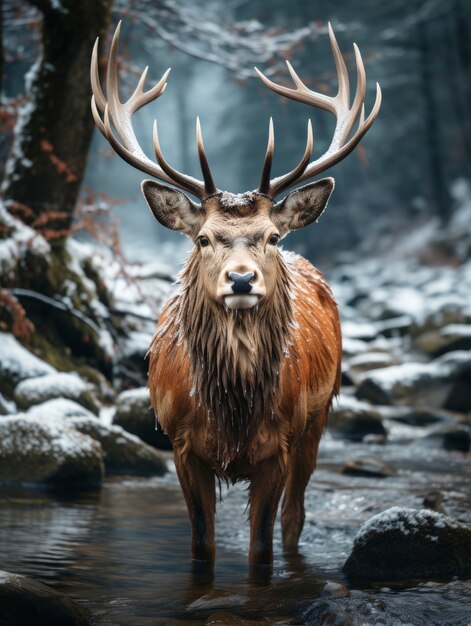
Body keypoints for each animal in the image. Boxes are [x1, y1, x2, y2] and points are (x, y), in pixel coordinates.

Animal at [90, 20, 382, 564]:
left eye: (272, 236)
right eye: (203, 238)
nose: (242, 279)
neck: (232, 415)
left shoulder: (281, 444)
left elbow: (261, 546)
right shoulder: (180, 443)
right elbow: (202, 543)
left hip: (319, 415)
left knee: (295, 518)